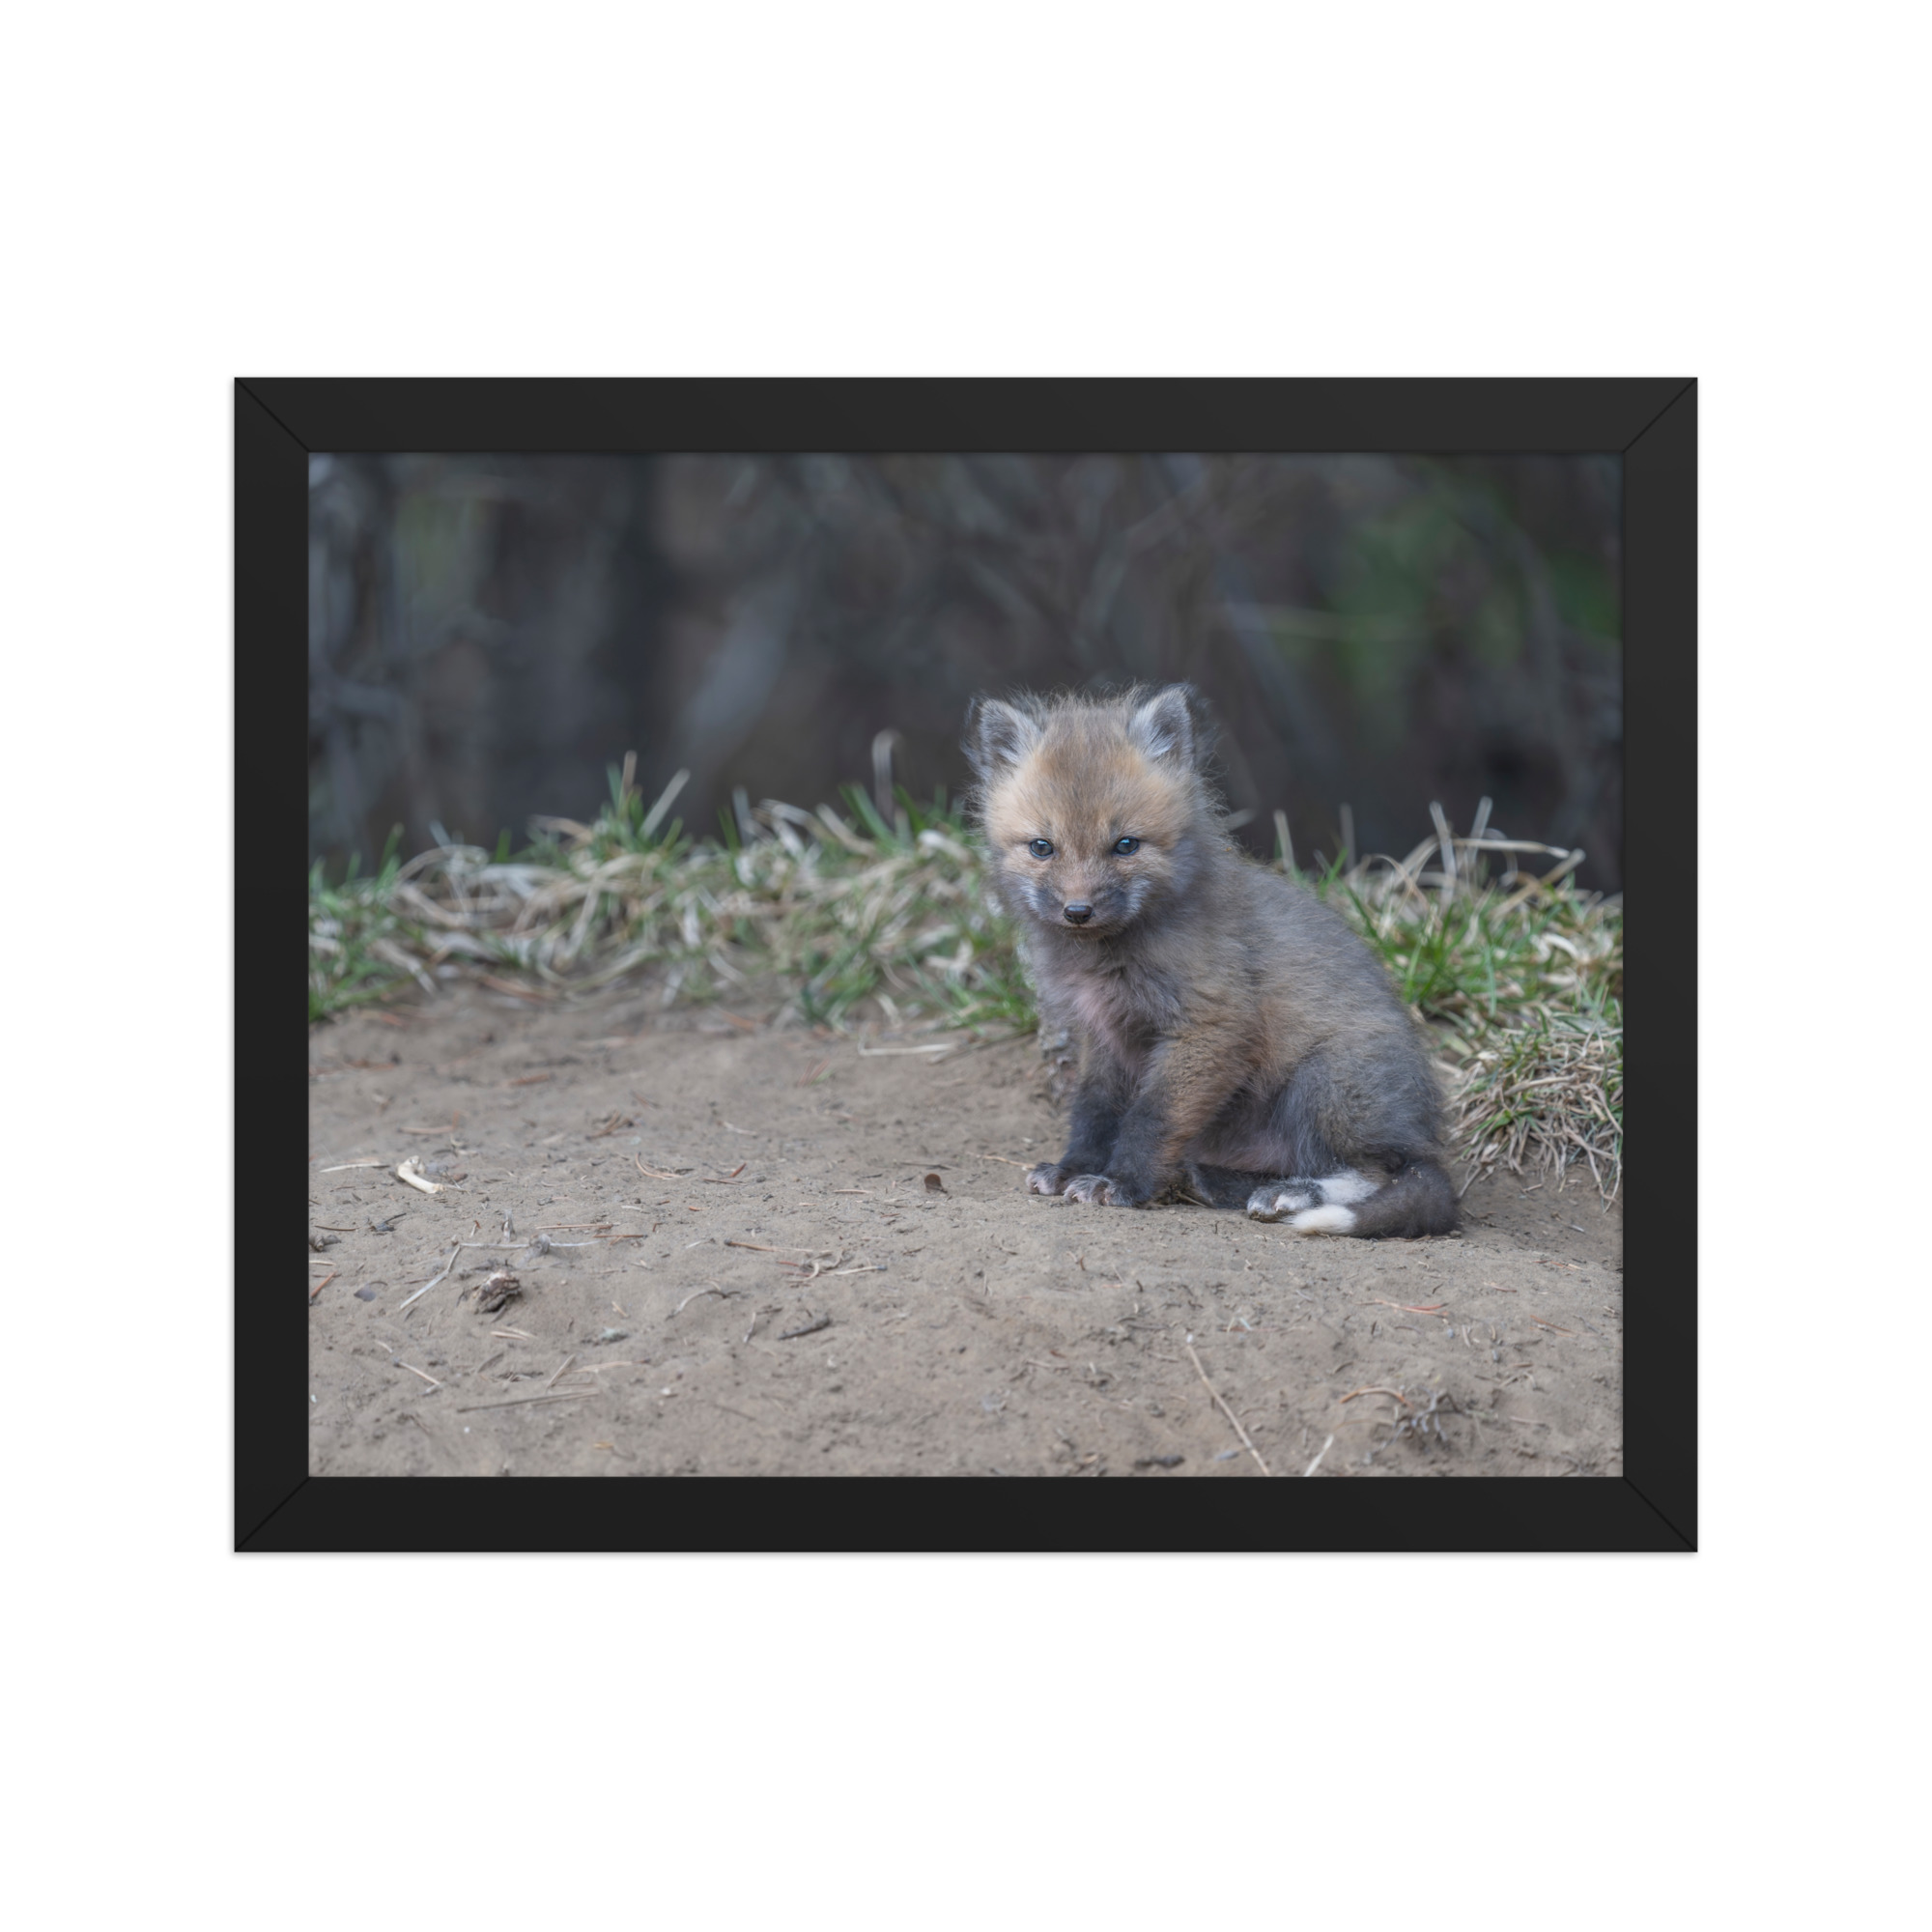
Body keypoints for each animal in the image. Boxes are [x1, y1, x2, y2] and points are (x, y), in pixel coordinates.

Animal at [965, 683, 1456, 1239]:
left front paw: (1122, 1184)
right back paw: (1216, 1181)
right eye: (1042, 847)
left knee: (1381, 1172)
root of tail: (1424, 1135)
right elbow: (1093, 1112)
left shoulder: (1210, 1025)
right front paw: (1075, 1168)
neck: (1107, 958)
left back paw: (1292, 1194)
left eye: (1125, 845)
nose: (1078, 911)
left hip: (1325, 1082)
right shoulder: (1105, 1035)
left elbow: (1150, 1118)